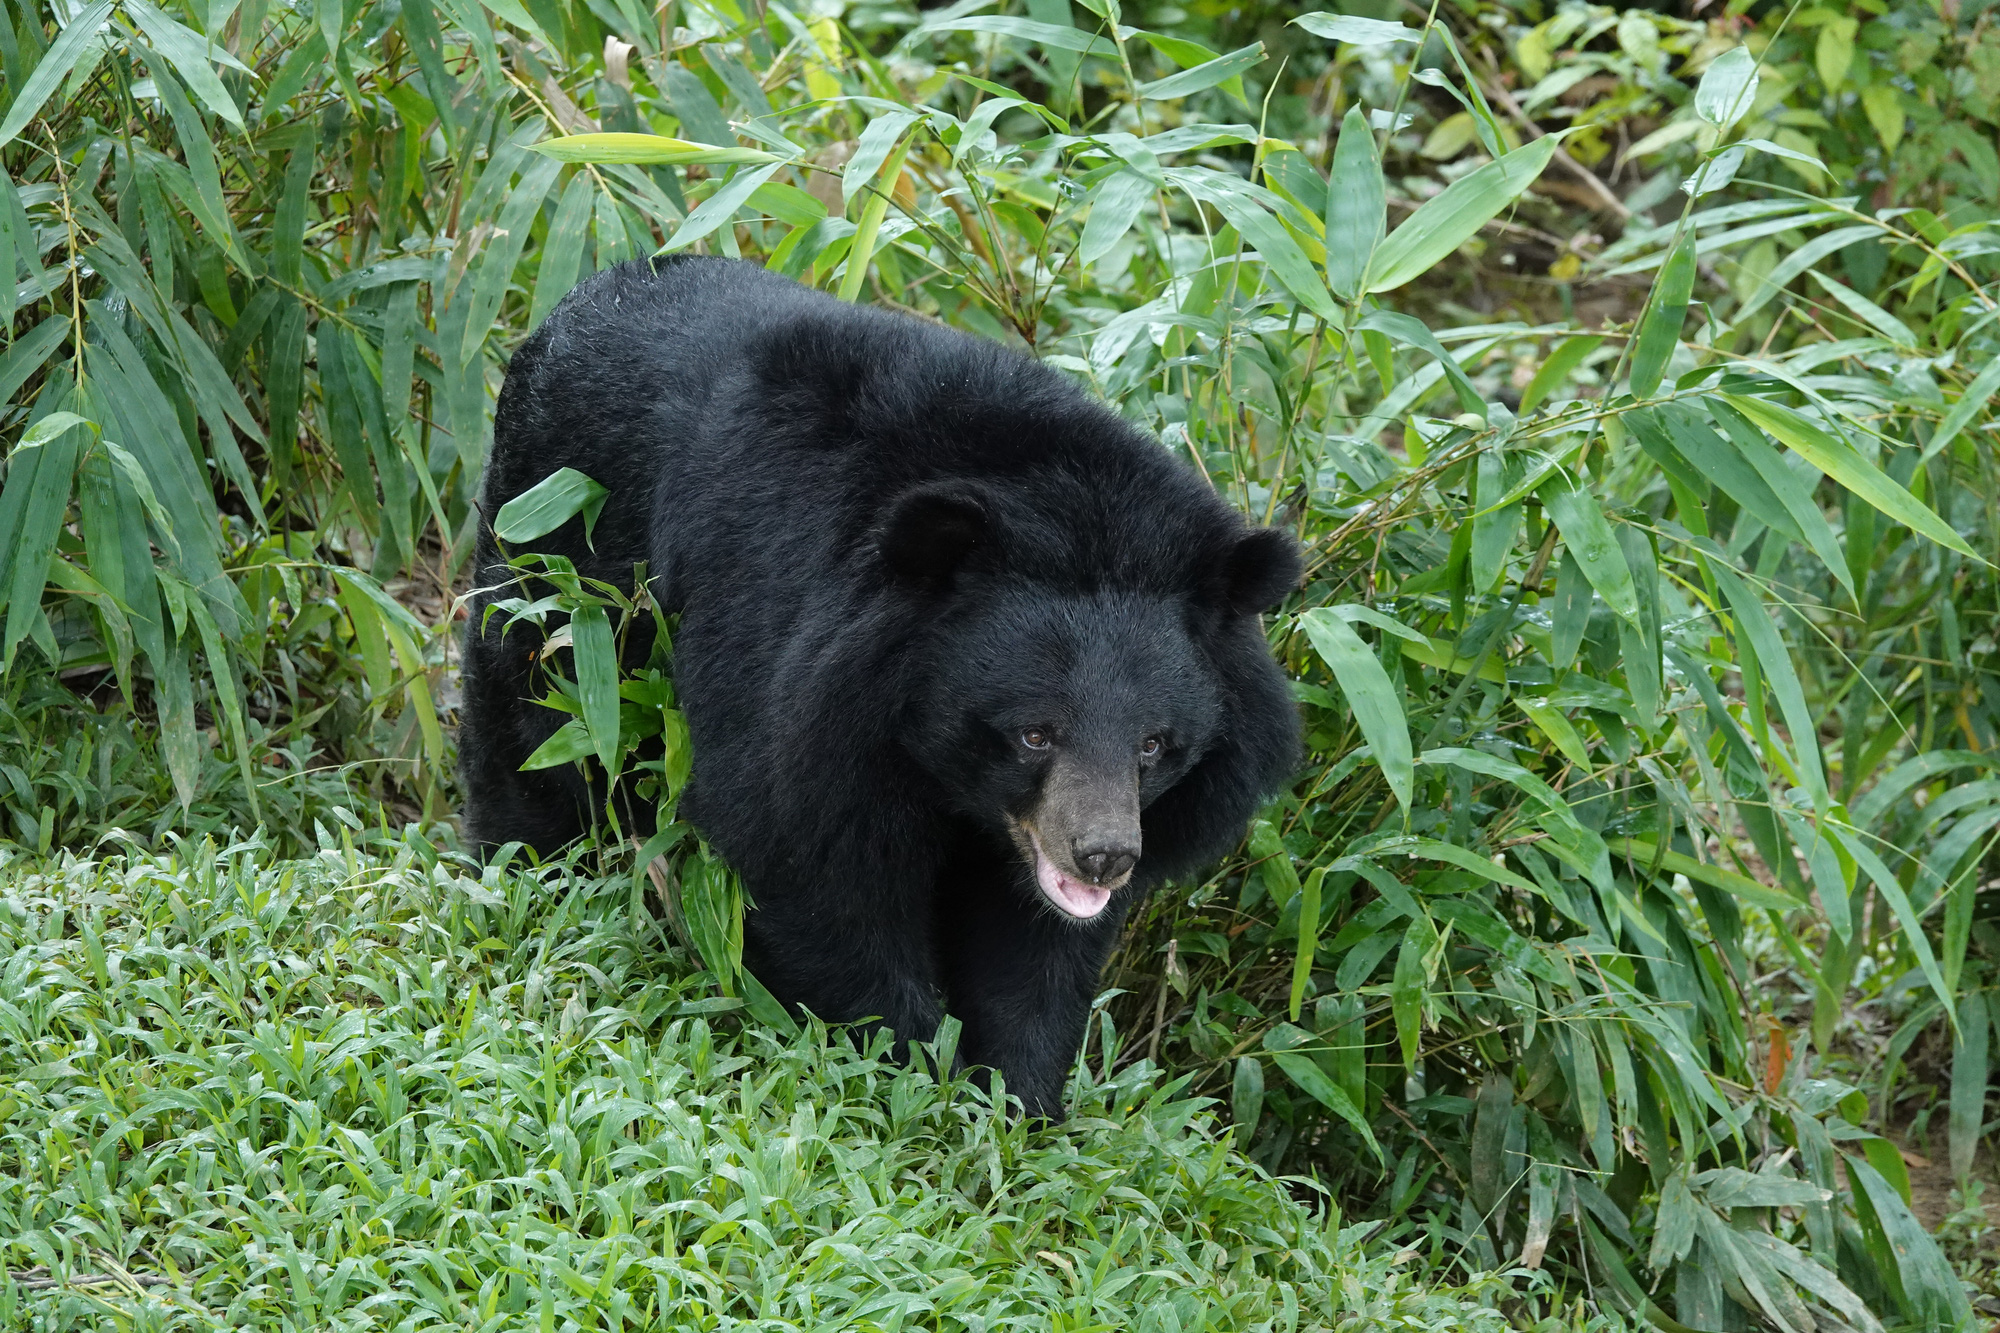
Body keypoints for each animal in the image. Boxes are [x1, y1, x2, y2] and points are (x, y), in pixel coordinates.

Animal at [460, 254, 1304, 1104]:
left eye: (1154, 745)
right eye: (1034, 733)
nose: (1103, 854)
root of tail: (587, 292)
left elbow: (1036, 949)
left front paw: (1019, 1098)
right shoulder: (791, 668)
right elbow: (807, 870)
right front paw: (917, 1072)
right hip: (555, 565)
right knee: (533, 732)